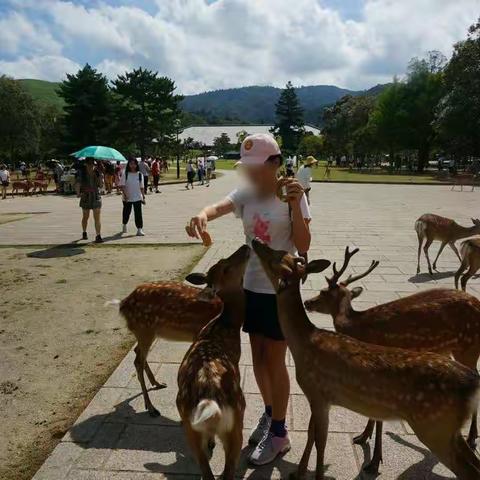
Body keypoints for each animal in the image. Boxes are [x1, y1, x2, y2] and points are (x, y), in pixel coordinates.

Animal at [121, 274, 224, 416]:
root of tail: (123, 304)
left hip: (147, 332)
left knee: (137, 352)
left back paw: (157, 383)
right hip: (143, 328)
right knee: (138, 361)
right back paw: (151, 408)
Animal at [177, 244, 251, 480]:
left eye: (222, 261)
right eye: (226, 268)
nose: (245, 247)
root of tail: (210, 400)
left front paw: (210, 442)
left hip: (189, 426)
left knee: (204, 467)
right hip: (236, 421)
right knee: (228, 471)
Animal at [249, 240, 480, 480]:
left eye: (276, 257)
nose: (256, 241)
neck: (304, 344)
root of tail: (472, 385)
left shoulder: (319, 392)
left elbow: (321, 441)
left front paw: (315, 473)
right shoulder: (317, 396)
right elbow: (311, 434)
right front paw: (298, 472)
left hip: (434, 425)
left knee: (468, 471)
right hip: (449, 431)